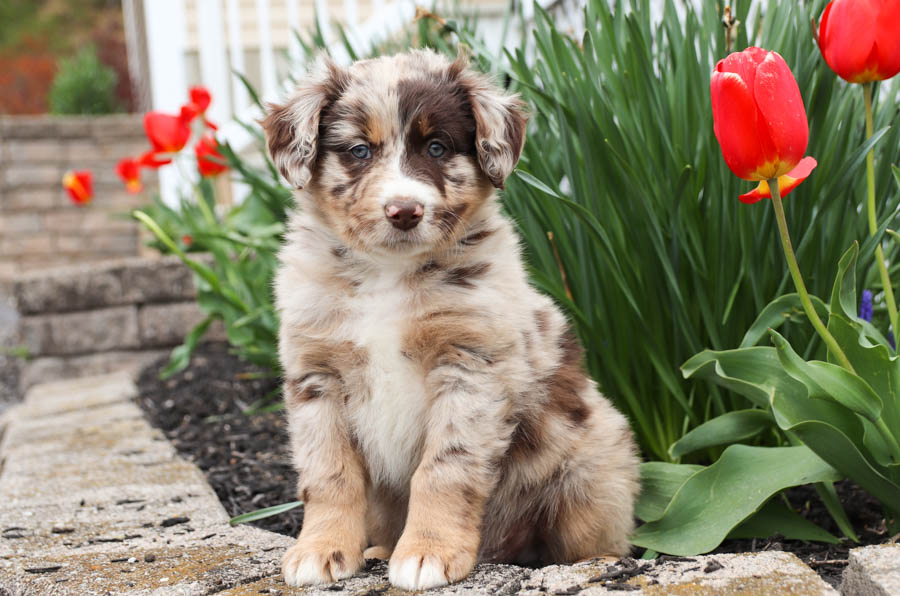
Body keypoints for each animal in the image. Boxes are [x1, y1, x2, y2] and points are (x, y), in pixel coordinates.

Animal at [260, 49, 640, 588]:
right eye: (359, 151)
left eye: (437, 148)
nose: (404, 211)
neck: (389, 273)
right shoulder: (317, 376)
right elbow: (329, 473)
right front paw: (321, 549)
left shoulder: (470, 367)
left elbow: (444, 468)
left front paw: (427, 552)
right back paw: (379, 547)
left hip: (593, 471)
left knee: (592, 538)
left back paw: (603, 563)